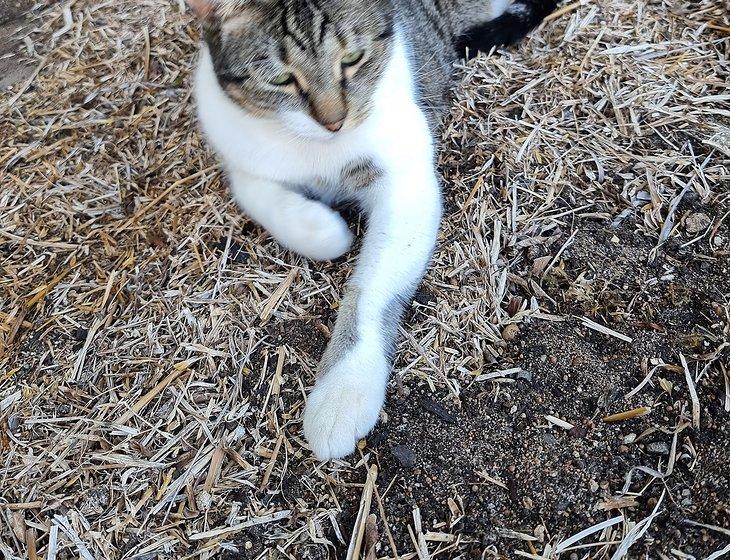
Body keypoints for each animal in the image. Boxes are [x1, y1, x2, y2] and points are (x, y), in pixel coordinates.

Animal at [185, 0, 556, 458]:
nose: (335, 122)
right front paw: (326, 229)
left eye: (352, 58)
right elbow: (267, 201)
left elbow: (371, 288)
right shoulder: (243, 160)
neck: (320, 152)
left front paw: (343, 389)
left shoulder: (406, 180)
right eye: (281, 79)